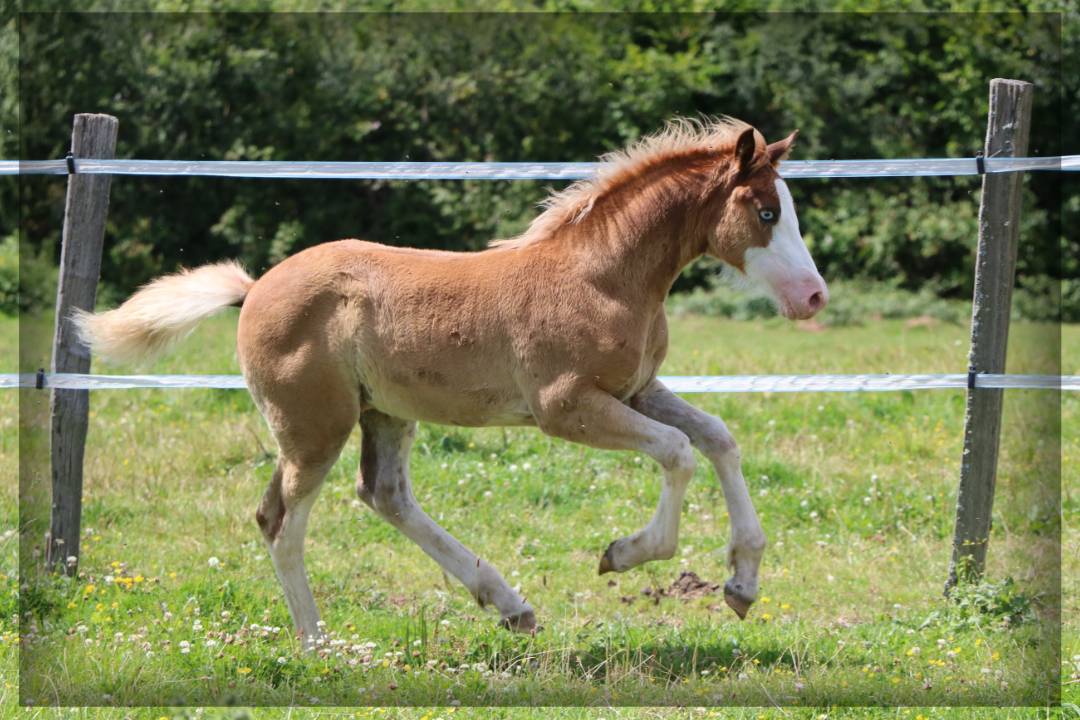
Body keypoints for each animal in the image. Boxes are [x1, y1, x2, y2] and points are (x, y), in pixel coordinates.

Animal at [74, 118, 828, 648]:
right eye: (766, 213)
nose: (814, 296)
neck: (603, 278)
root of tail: (256, 286)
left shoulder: (637, 390)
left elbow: (719, 438)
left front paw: (742, 581)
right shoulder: (567, 407)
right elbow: (676, 452)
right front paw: (624, 553)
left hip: (384, 412)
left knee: (383, 495)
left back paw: (510, 605)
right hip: (314, 427)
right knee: (280, 521)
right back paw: (319, 645)